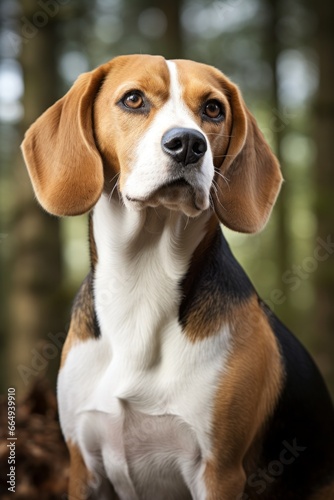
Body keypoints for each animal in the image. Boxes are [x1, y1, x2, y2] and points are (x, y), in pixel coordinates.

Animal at [22, 54, 332, 500]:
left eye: (213, 109)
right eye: (133, 99)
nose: (188, 143)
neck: (142, 281)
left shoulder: (218, 472)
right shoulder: (84, 465)